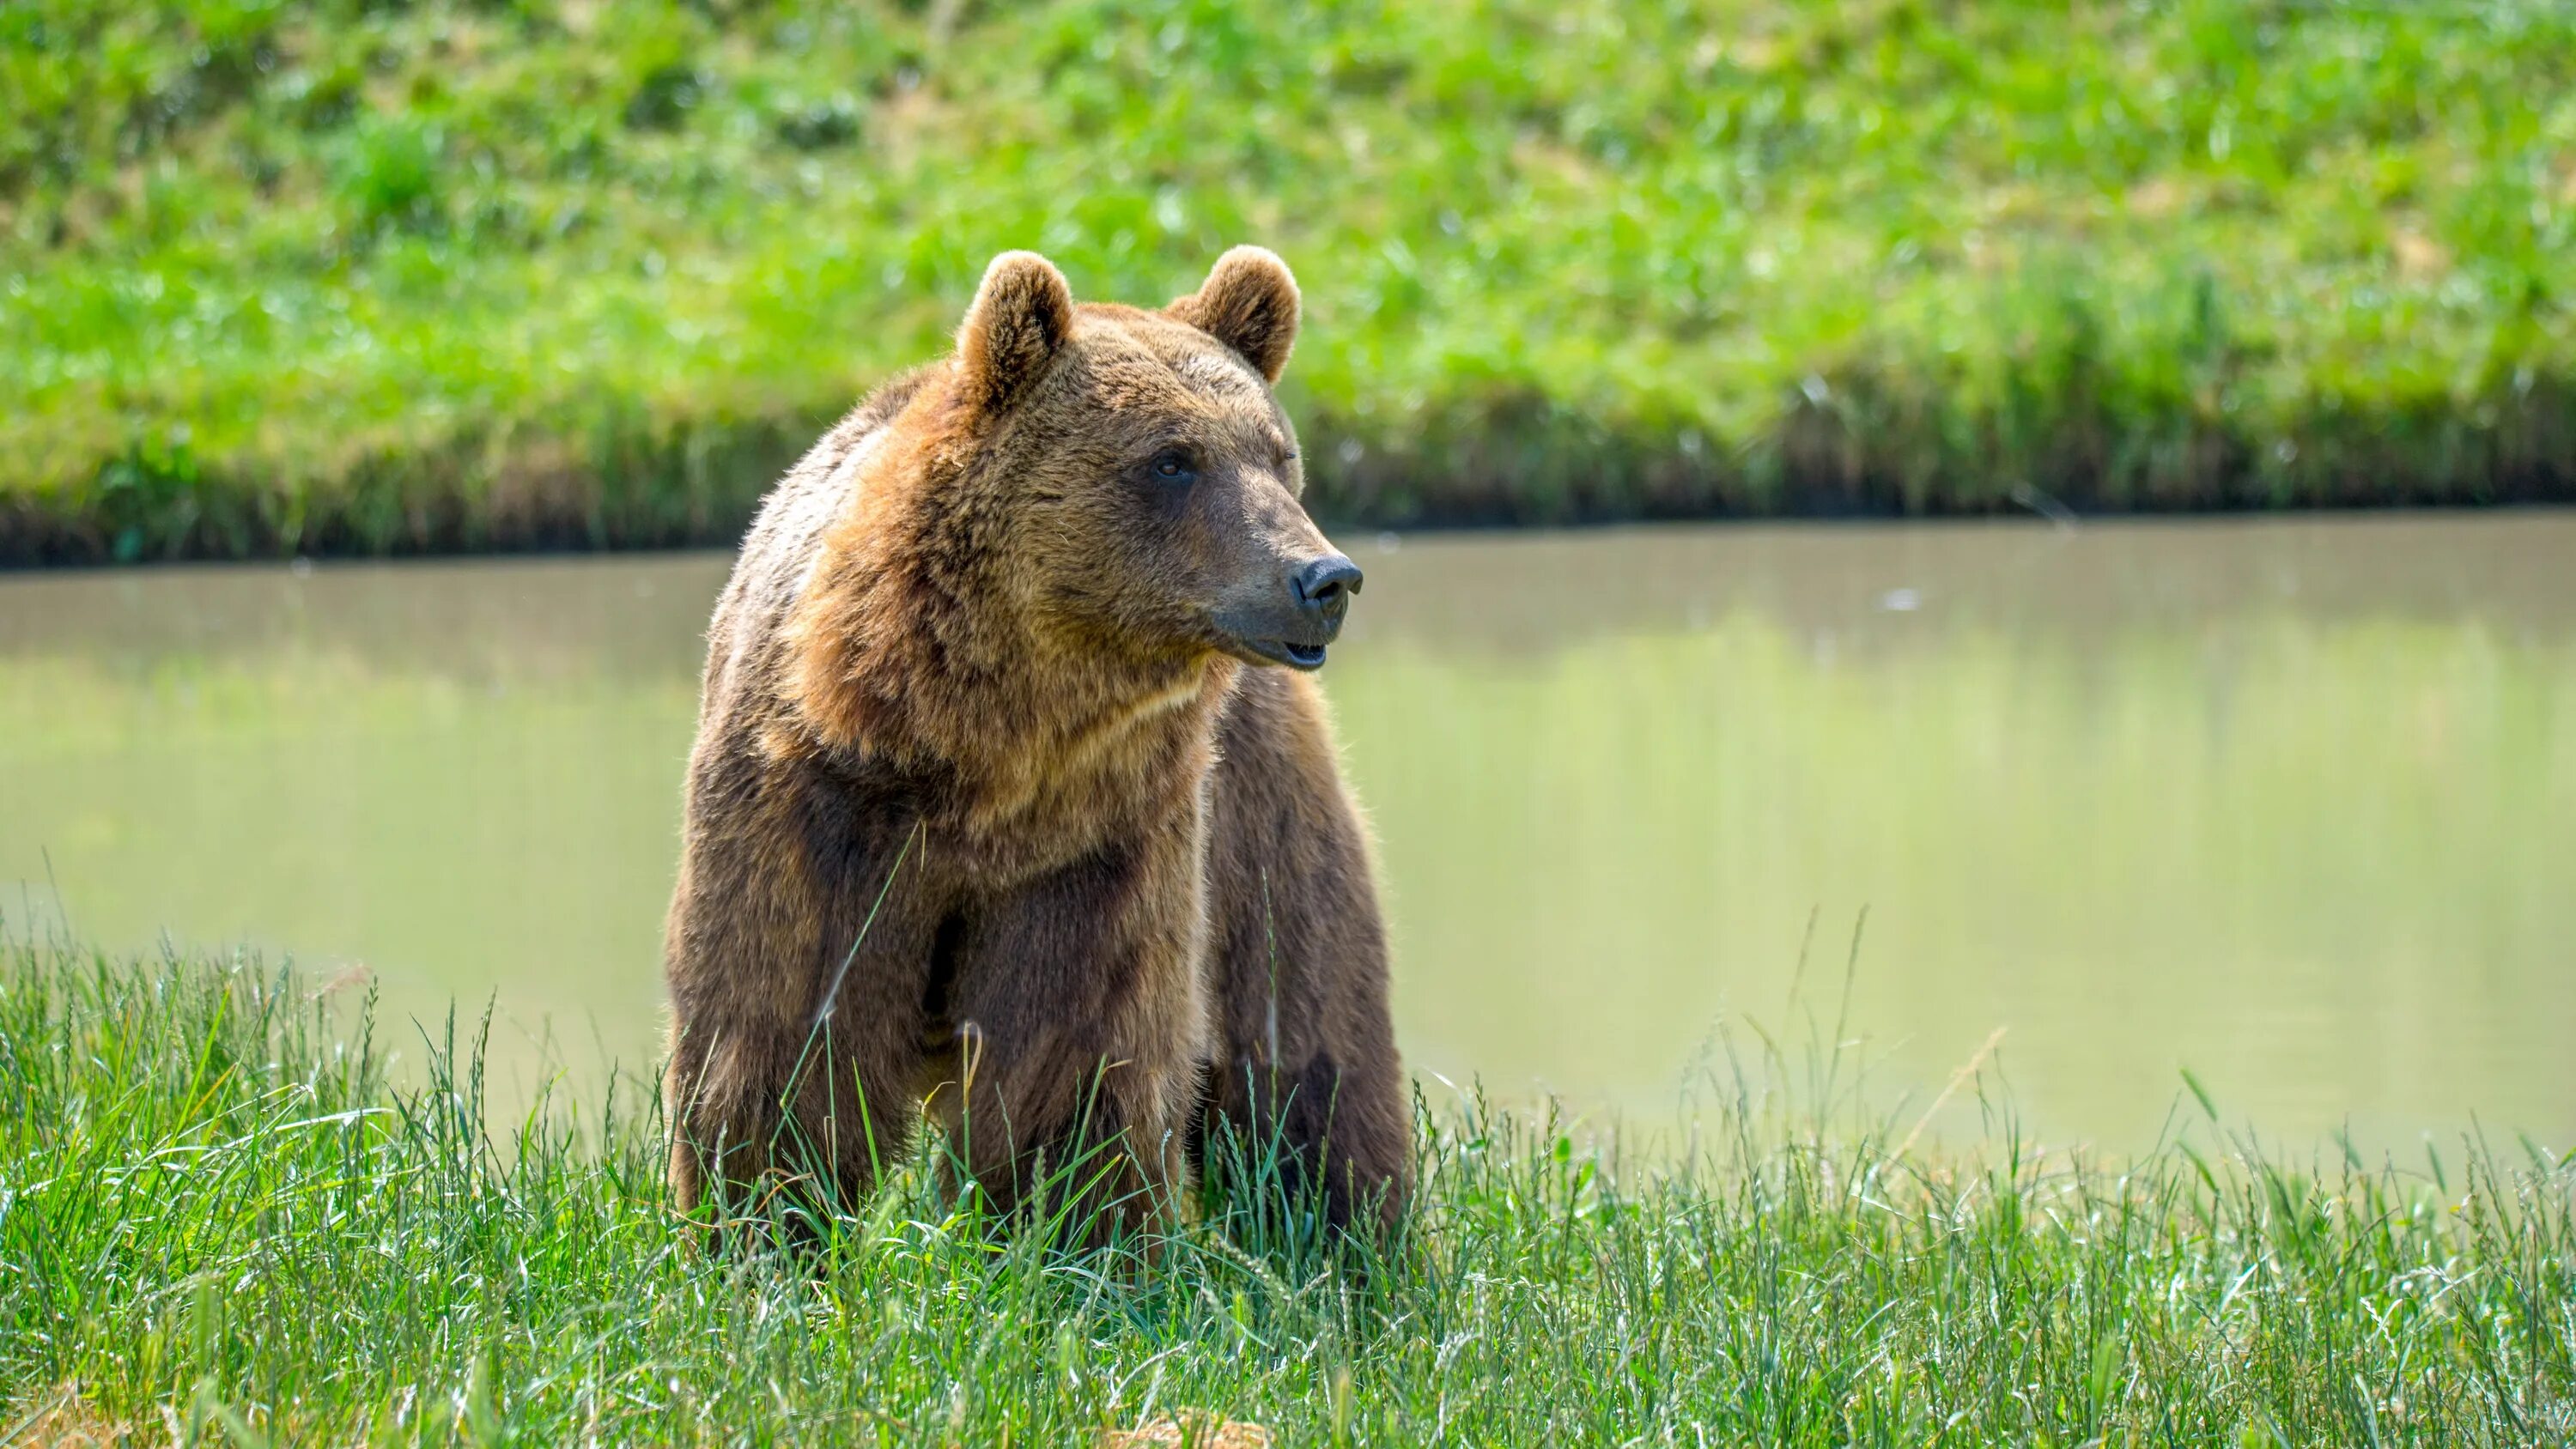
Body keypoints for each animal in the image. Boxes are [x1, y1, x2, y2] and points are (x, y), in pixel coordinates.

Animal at [665, 246, 1412, 1235]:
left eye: (1278, 455)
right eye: (1173, 459)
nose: (1324, 578)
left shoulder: (1098, 838)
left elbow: (1075, 1048)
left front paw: (1068, 1223)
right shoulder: (818, 803)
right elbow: (783, 1031)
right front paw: (764, 1224)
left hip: (1257, 809)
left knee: (1308, 1031)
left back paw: (1348, 1234)